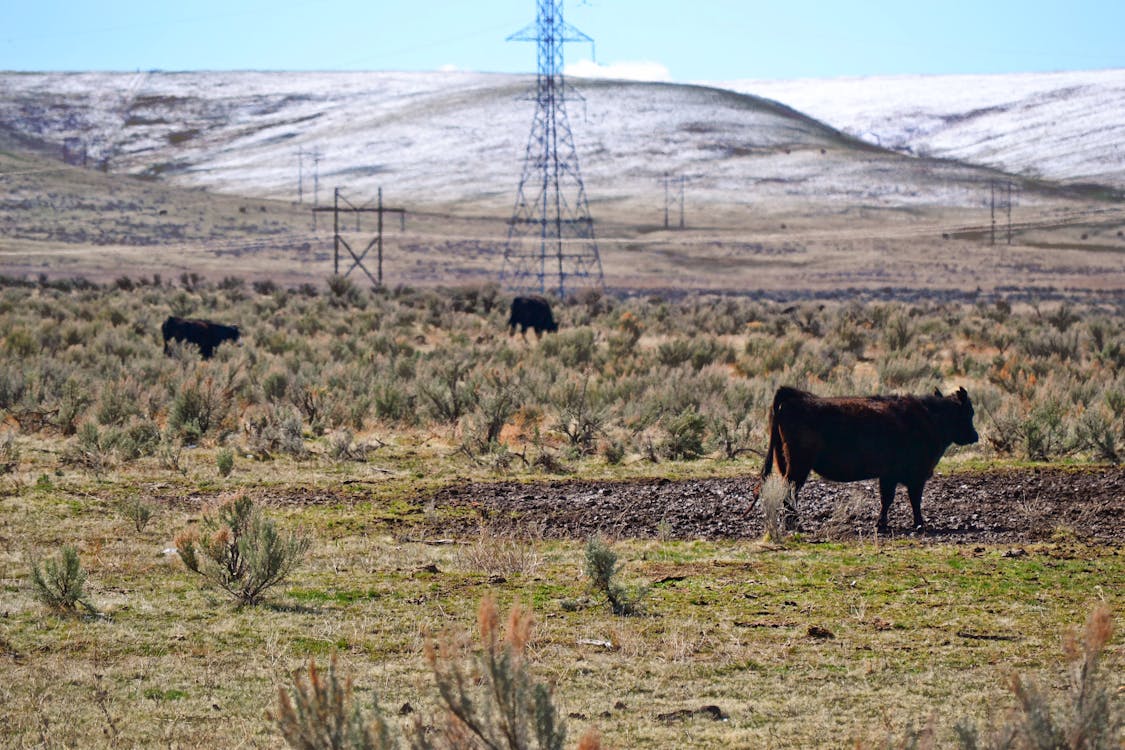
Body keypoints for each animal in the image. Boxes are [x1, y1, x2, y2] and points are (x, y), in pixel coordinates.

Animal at [765, 386, 976, 532]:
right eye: (968, 412)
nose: (975, 436)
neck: (929, 417)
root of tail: (795, 396)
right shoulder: (916, 477)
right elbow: (914, 500)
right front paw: (919, 524)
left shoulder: (889, 476)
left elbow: (887, 499)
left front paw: (881, 524)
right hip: (798, 467)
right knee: (790, 495)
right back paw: (796, 526)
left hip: (787, 465)